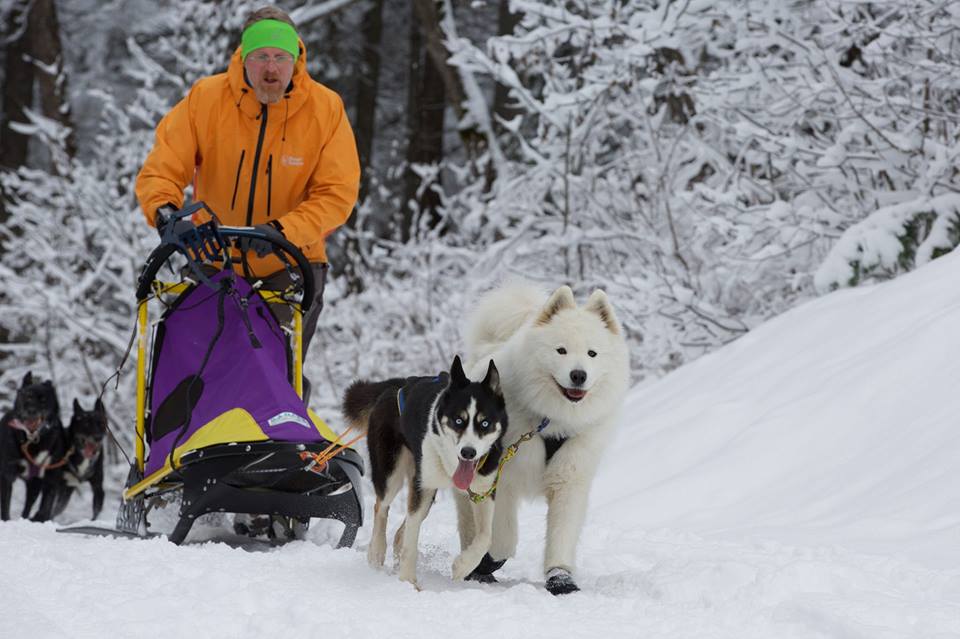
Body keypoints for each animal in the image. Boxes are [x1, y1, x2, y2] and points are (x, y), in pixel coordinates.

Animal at [0, 372, 68, 524]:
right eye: (28, 396)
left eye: (43, 400)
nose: (31, 411)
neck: (31, 441)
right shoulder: (7, 474)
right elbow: (5, 506)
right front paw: (6, 520)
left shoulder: (49, 477)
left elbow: (46, 504)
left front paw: (39, 517)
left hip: (34, 485)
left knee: (29, 505)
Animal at [458, 284, 632, 596]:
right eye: (561, 350)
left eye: (592, 353)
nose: (578, 375)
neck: (553, 421)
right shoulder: (502, 478)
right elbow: (503, 537)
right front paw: (488, 561)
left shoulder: (570, 477)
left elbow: (562, 532)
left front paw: (560, 577)